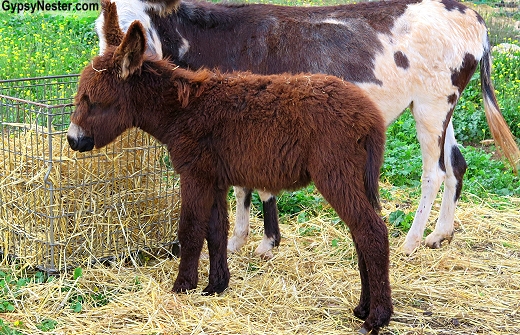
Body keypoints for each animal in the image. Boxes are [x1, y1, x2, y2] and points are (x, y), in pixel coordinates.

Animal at [67, 18, 390, 334]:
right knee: (359, 235)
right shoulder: (215, 179)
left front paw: (182, 286)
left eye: (94, 101)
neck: (181, 112)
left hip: (335, 174)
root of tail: (370, 115)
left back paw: (377, 319)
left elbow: (190, 229)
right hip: (353, 177)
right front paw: (216, 286)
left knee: (371, 231)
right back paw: (363, 308)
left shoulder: (195, 175)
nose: (73, 140)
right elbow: (216, 231)